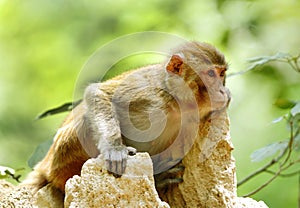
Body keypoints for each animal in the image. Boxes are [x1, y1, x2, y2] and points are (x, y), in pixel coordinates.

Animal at [22, 41, 231, 195]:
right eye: (210, 74)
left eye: (221, 74)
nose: (222, 90)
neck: (177, 102)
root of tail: (45, 165)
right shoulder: (148, 94)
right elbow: (99, 93)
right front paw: (114, 149)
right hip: (64, 156)